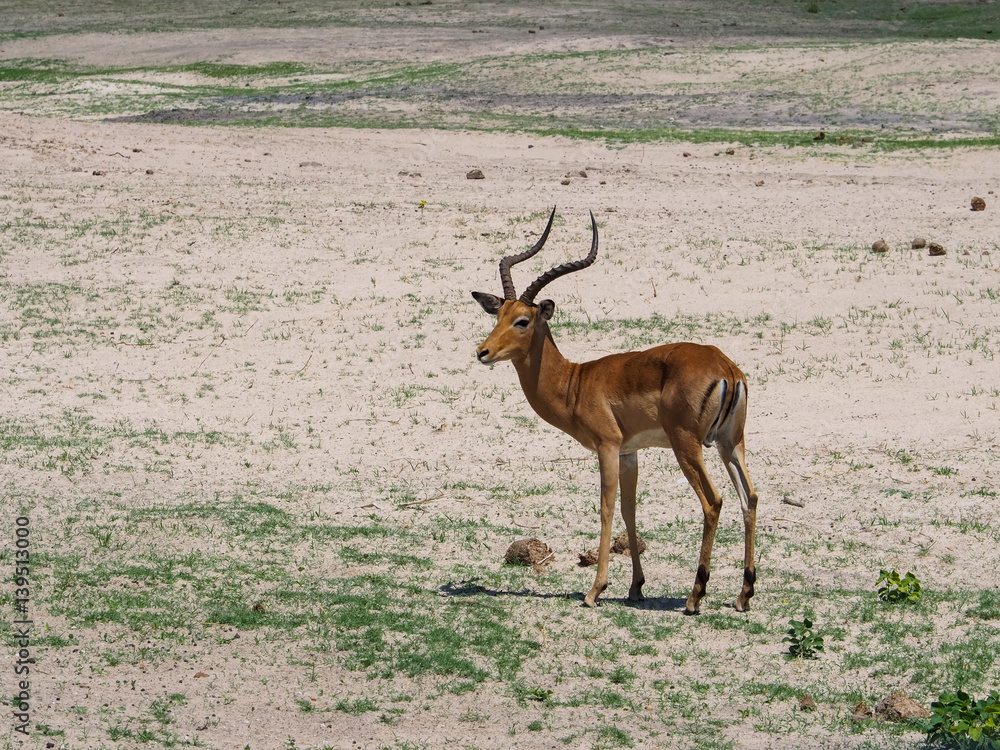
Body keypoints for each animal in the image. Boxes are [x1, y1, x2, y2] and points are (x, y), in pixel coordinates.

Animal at [472, 208, 759, 614]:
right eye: (498, 316)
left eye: (522, 321)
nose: (482, 351)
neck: (575, 382)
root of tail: (727, 369)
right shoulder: (629, 452)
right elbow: (629, 510)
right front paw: (636, 587)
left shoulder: (606, 447)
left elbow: (606, 508)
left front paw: (596, 590)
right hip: (729, 443)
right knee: (749, 497)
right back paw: (744, 594)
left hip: (688, 446)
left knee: (713, 501)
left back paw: (694, 596)